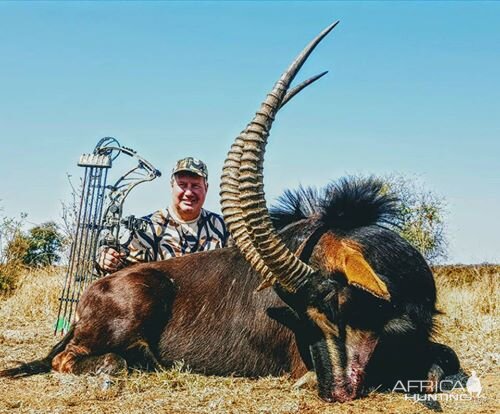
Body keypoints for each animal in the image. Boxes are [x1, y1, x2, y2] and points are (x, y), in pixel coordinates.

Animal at [0, 21, 460, 402]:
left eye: (334, 302)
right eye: (305, 316)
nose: (332, 391)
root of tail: (93, 292)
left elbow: (446, 360)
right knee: (71, 360)